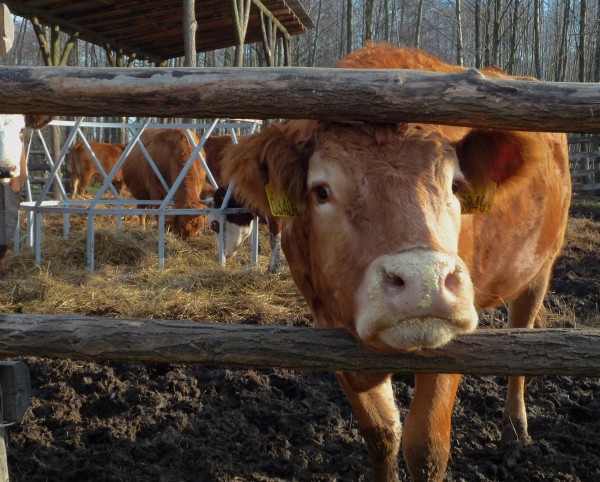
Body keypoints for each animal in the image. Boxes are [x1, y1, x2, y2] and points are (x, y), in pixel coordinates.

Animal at [220, 42, 572, 482]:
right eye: (321, 191)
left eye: (455, 186)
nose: (424, 283)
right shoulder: (329, 332)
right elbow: (382, 432)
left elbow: (426, 447)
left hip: (540, 268)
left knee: (521, 334)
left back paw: (514, 428)